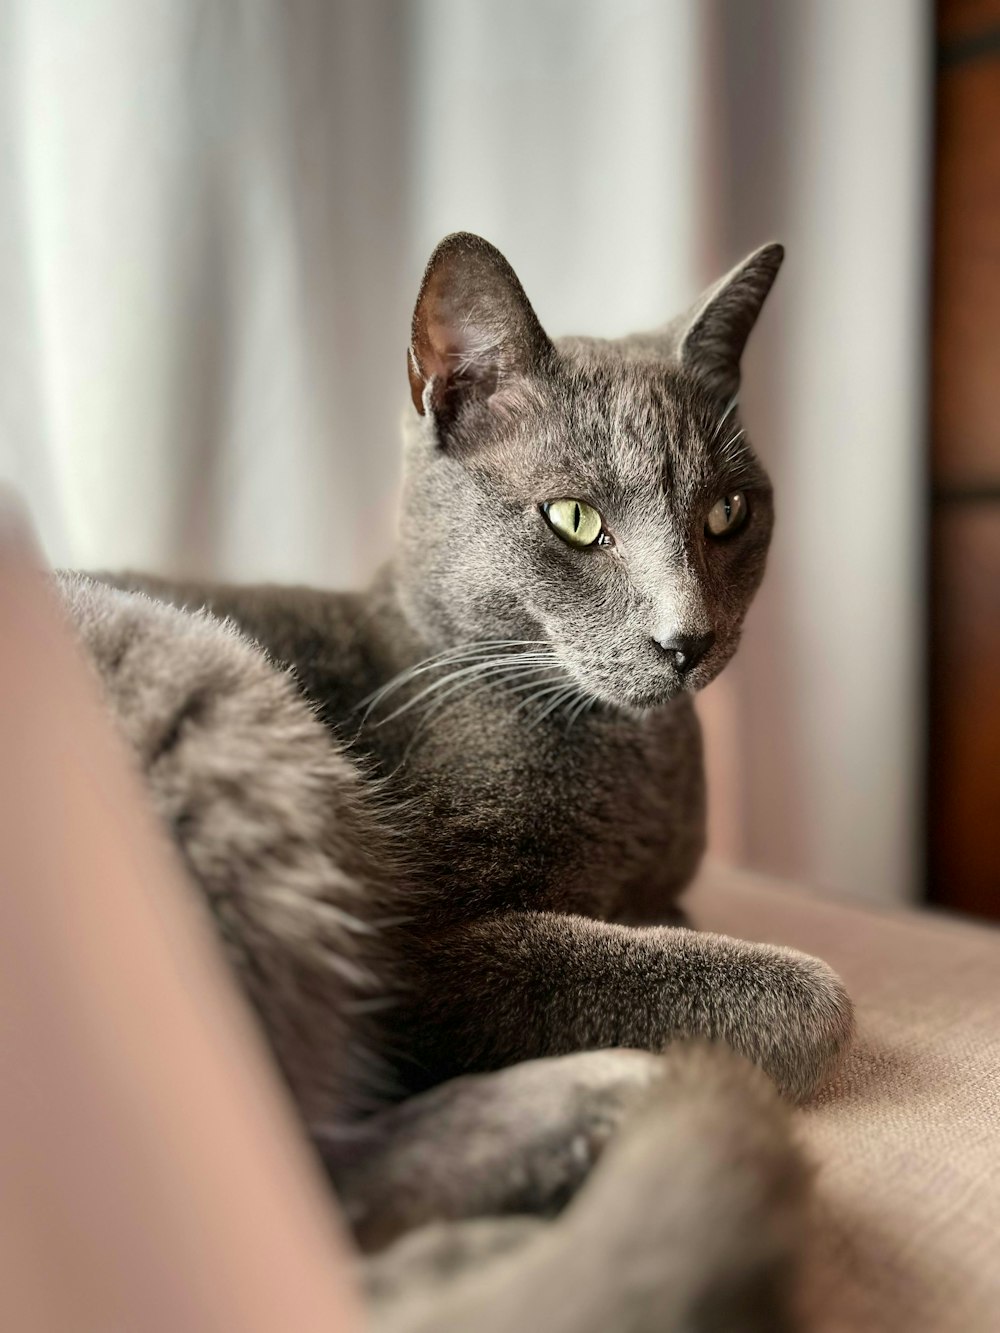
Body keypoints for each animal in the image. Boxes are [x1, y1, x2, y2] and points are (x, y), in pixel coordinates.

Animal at [62, 234, 858, 1327]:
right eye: (575, 520)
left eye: (728, 513)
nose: (686, 638)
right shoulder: (415, 943)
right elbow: (791, 989)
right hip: (213, 688)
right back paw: (593, 1123)